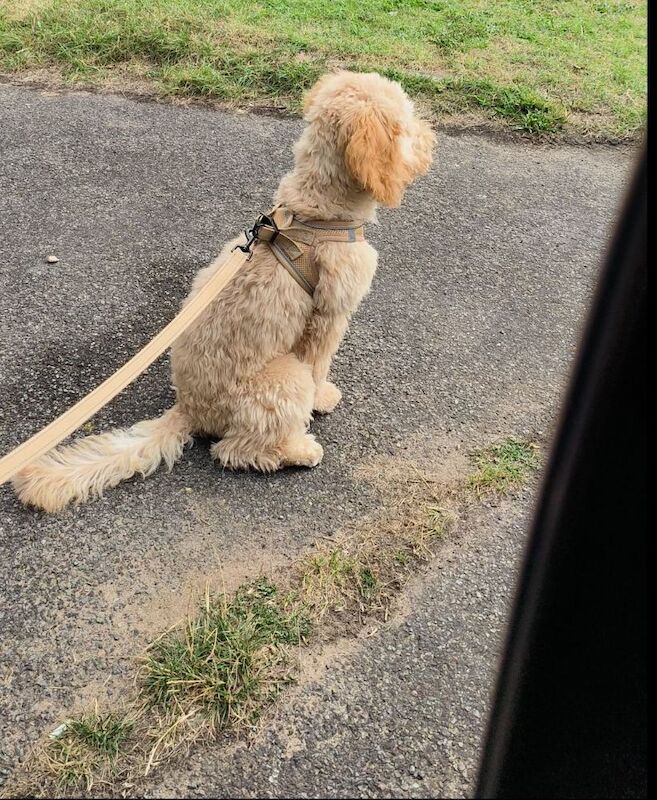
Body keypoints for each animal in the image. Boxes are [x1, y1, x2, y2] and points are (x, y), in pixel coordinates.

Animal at [12, 70, 434, 512]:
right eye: (405, 126)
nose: (432, 140)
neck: (317, 211)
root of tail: (189, 409)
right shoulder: (328, 316)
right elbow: (320, 365)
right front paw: (323, 398)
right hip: (284, 378)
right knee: (234, 450)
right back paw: (297, 451)